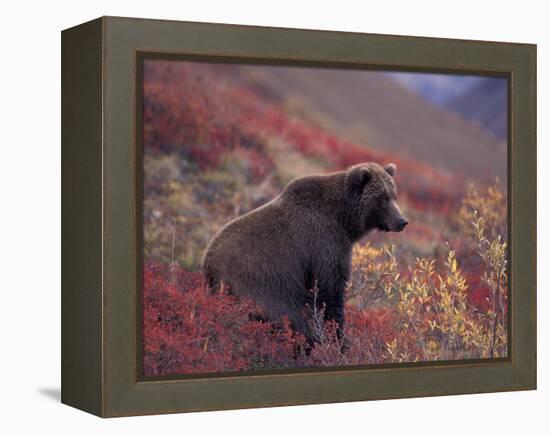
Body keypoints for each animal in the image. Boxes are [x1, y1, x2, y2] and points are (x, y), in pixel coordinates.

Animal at [203, 161, 410, 344]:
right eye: (383, 197)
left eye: (394, 195)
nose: (402, 221)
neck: (343, 220)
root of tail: (209, 265)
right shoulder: (323, 245)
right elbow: (330, 290)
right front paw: (339, 338)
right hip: (262, 287)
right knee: (293, 318)